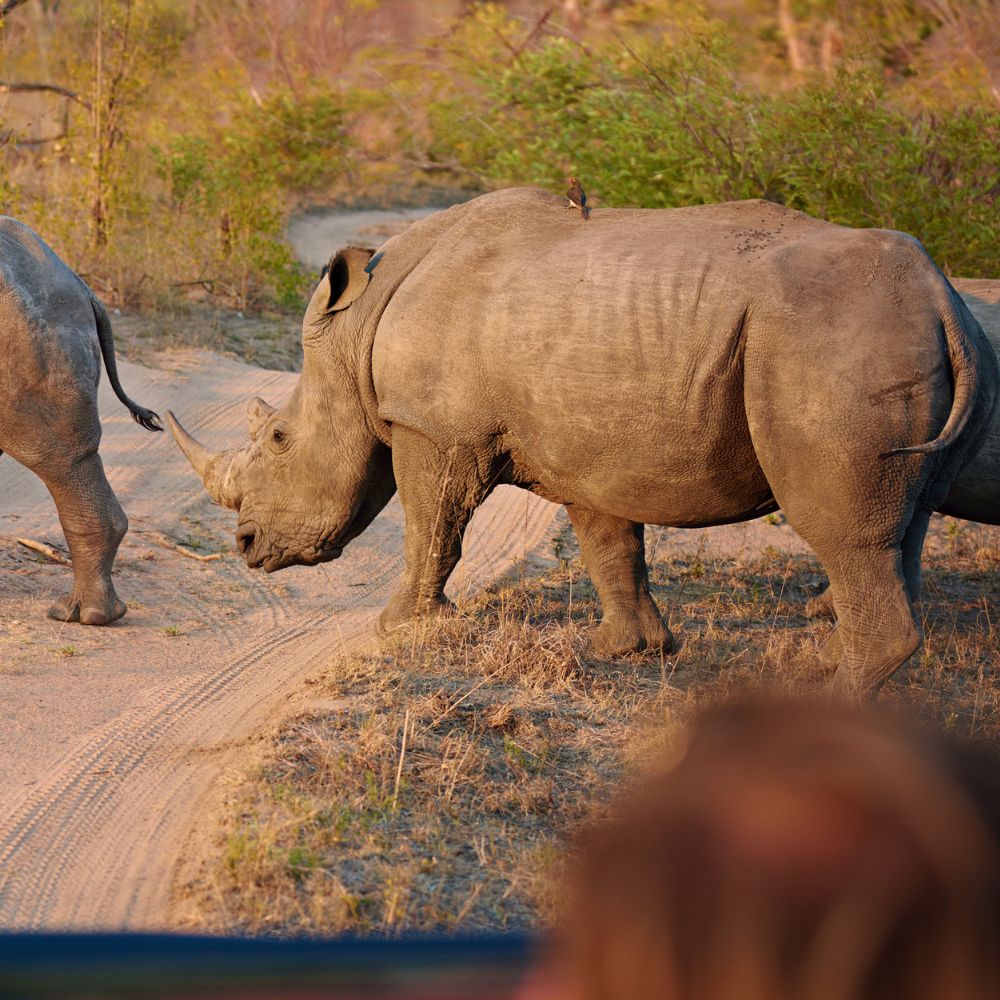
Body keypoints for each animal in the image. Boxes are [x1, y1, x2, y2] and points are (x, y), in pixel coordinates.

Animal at [167, 189, 997, 695]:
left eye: (279, 439)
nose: (246, 547)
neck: (358, 330)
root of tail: (939, 296)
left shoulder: (435, 427)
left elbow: (430, 528)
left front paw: (400, 627)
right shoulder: (588, 445)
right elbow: (607, 543)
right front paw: (627, 652)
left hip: (830, 346)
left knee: (847, 532)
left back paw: (826, 697)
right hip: (913, 345)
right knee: (900, 526)